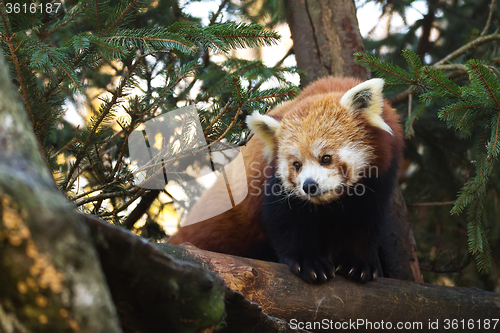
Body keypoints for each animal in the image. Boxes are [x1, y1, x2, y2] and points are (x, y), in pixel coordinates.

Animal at [170, 77, 404, 282]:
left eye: (326, 158)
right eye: (296, 165)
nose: (309, 186)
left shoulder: (380, 177)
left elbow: (365, 220)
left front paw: (357, 263)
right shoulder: (272, 181)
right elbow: (284, 220)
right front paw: (309, 262)